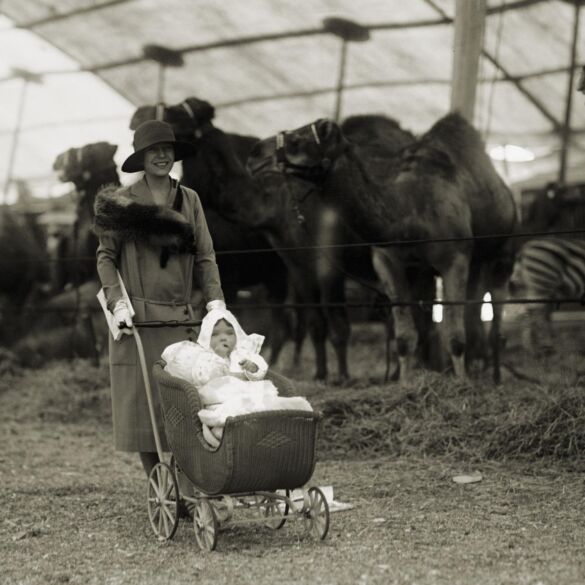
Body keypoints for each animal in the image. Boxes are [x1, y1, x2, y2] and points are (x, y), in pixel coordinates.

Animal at [246, 114, 516, 378]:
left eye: (297, 141)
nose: (255, 153)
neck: (410, 213)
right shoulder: (388, 261)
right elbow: (404, 337)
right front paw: (406, 383)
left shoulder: (455, 258)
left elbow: (456, 337)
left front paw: (461, 384)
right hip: (456, 265)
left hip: (503, 255)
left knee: (496, 321)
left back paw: (494, 376)